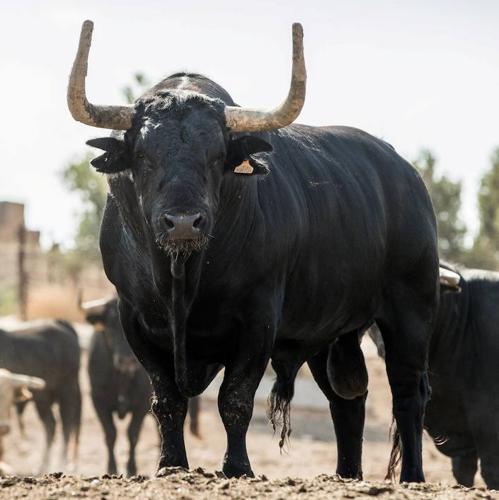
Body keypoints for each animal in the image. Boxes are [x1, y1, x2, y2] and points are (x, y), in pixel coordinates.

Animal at [0, 320, 81, 472]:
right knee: (53, 424)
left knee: (62, 424)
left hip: (64, 391)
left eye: (8, 397)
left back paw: (57, 464)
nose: (4, 428)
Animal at [72, 26, 440, 480]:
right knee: (347, 401)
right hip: (331, 332)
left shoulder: (258, 320)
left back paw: (412, 477)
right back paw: (346, 475)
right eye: (142, 155)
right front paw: (171, 464)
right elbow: (167, 402)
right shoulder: (134, 320)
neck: (184, 278)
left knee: (409, 393)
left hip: (412, 309)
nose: (183, 222)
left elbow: (235, 399)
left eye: (217, 156)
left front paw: (237, 467)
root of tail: (406, 175)